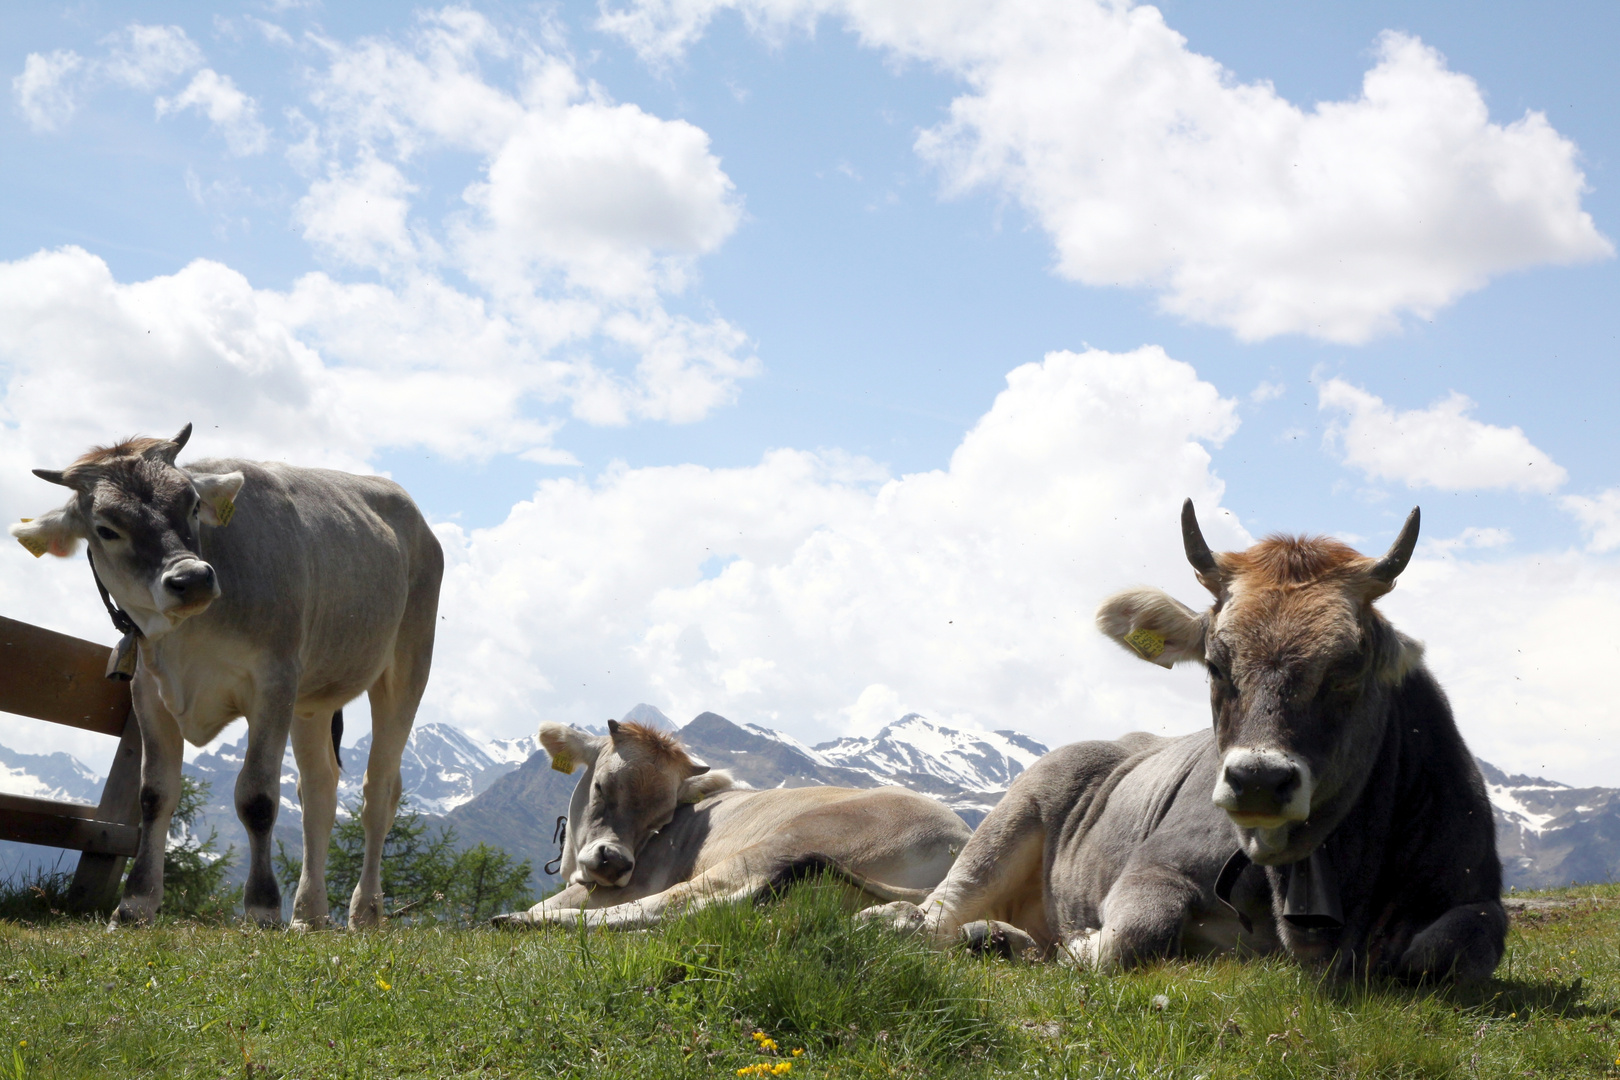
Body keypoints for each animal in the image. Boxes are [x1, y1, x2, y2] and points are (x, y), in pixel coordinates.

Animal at [14, 427, 443, 926]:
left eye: (192, 504)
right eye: (106, 528)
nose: (192, 579)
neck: (187, 637)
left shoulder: (273, 682)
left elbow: (257, 798)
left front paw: (262, 908)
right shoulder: (148, 693)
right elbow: (154, 794)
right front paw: (135, 903)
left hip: (407, 665)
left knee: (380, 791)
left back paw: (365, 912)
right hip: (312, 698)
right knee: (319, 791)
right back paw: (309, 914)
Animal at [492, 718, 972, 932]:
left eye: (662, 817)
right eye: (601, 786)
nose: (615, 861)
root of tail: (961, 836)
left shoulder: (631, 882)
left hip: (790, 840)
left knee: (682, 906)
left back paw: (517, 919)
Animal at [868, 501, 1509, 984]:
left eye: (1348, 667)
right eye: (1216, 663)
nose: (1257, 780)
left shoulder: (1477, 895)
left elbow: (1452, 948)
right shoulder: (1156, 865)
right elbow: (1134, 935)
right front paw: (1080, 947)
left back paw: (999, 936)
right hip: (1009, 821)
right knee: (937, 910)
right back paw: (898, 920)